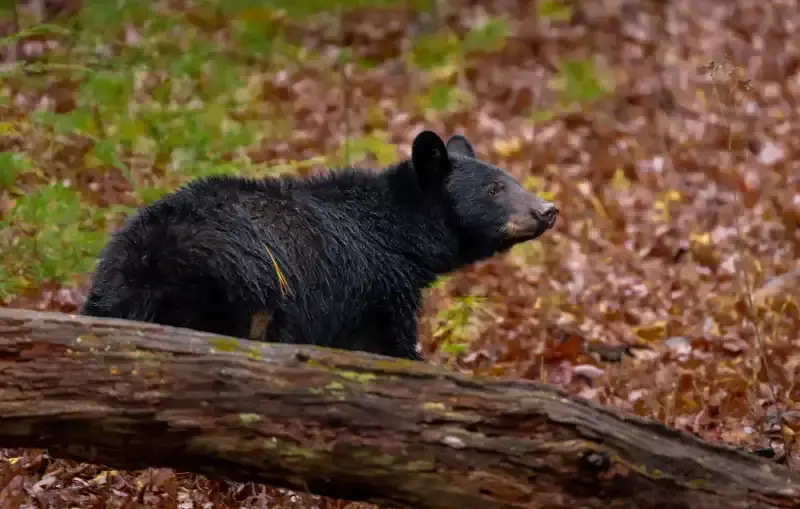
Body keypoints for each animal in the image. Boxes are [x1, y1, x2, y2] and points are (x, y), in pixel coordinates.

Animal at [80, 130, 558, 361]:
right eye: (495, 189)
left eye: (512, 179)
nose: (547, 209)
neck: (397, 235)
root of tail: (145, 262)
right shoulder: (373, 291)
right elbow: (385, 347)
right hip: (233, 293)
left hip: (106, 295)